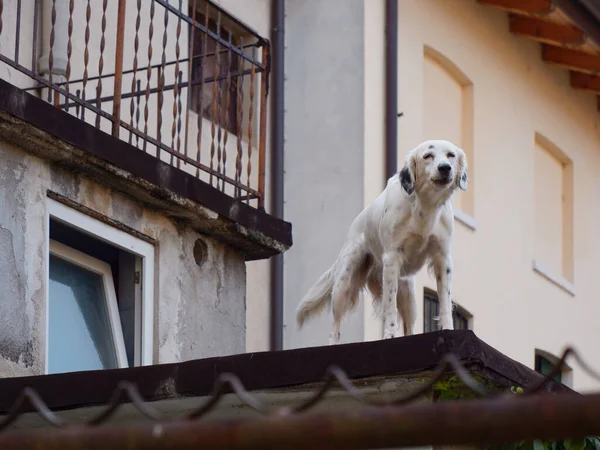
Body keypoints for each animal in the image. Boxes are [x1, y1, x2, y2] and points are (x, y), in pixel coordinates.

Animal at [296, 139, 468, 342]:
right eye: (428, 156)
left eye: (451, 155)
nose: (445, 168)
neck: (425, 207)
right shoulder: (392, 258)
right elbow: (390, 305)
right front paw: (390, 333)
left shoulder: (442, 258)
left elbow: (444, 301)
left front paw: (448, 328)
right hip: (344, 283)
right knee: (335, 328)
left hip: (409, 294)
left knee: (409, 327)